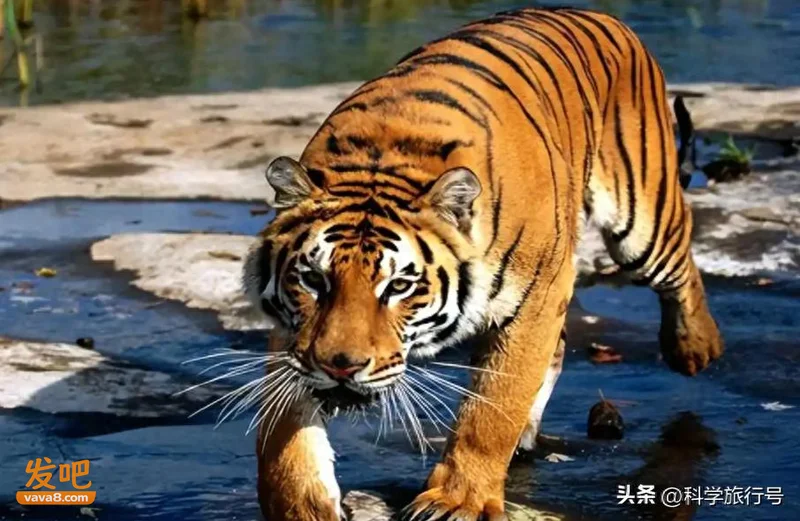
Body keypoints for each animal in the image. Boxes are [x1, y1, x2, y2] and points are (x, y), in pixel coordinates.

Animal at [242, 6, 723, 521]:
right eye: (313, 279)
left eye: (398, 287)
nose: (340, 368)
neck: (384, 159)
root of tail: (598, 14)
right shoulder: (296, 335)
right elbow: (283, 430)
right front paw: (302, 504)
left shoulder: (537, 298)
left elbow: (492, 409)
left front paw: (457, 500)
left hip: (642, 218)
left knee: (681, 263)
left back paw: (695, 347)